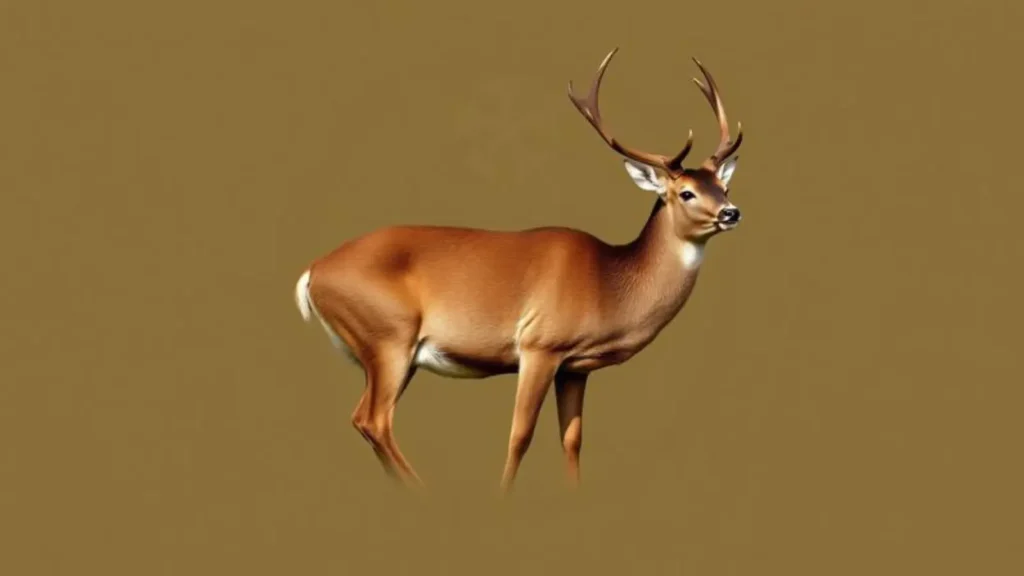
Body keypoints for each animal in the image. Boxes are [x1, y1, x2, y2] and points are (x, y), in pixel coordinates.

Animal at [293, 48, 744, 493]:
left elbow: (572, 438)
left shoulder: (575, 367)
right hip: (388, 334)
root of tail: (313, 271)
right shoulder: (538, 343)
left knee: (363, 418)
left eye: (724, 187)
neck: (610, 281)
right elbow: (520, 435)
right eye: (685, 193)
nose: (731, 212)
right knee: (374, 419)